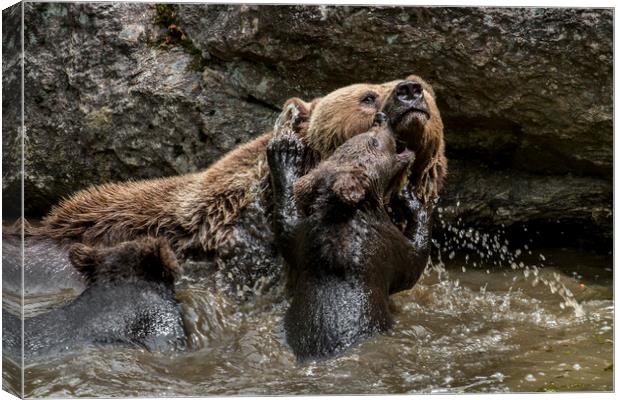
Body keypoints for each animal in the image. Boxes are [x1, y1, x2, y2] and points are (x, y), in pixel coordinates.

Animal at [266, 111, 432, 360]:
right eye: (373, 141)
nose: (381, 117)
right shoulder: (390, 247)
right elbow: (414, 261)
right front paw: (409, 194)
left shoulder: (303, 237)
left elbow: (286, 225)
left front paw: (284, 150)